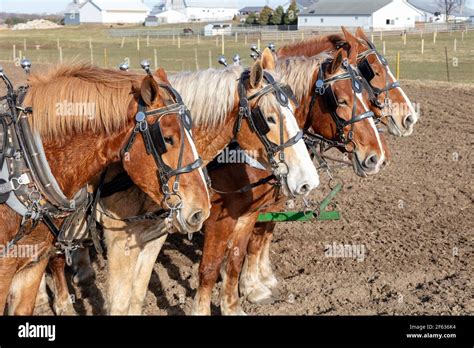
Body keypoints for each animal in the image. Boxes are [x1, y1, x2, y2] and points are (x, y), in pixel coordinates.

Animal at [239, 27, 420, 304]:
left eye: (362, 83)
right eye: (373, 70)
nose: (409, 117)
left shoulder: (277, 195)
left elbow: (264, 233)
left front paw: (264, 277)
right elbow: (252, 237)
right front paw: (251, 286)